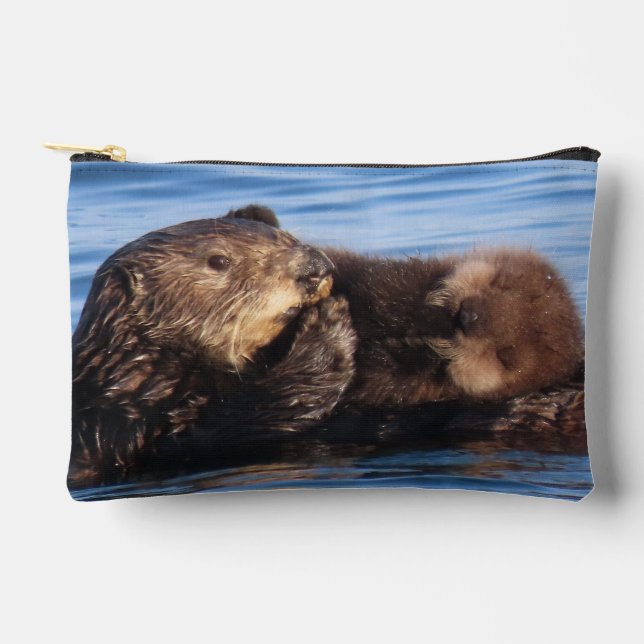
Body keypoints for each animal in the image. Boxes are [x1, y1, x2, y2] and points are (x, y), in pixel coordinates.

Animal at [71, 214, 356, 485]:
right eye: (219, 261)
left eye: (289, 237)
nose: (315, 266)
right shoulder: (120, 428)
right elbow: (228, 428)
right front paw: (326, 328)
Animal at [228, 206, 584, 408]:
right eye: (502, 283)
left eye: (505, 355)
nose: (468, 315)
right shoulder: (393, 279)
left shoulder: (421, 389)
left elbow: (380, 379)